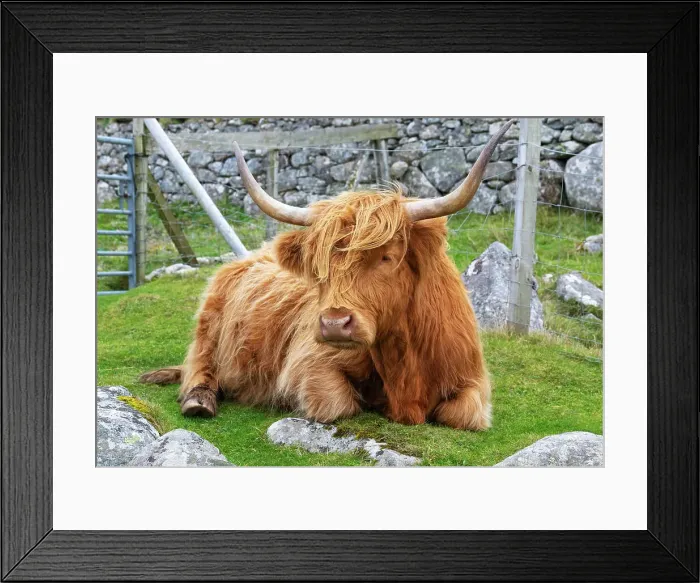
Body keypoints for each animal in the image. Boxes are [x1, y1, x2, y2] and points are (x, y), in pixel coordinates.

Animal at [140, 120, 513, 430]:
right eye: (320, 267)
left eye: (387, 257)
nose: (334, 324)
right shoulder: (311, 366)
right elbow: (338, 405)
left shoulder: (473, 384)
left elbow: (462, 415)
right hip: (209, 325)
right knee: (199, 365)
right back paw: (199, 401)